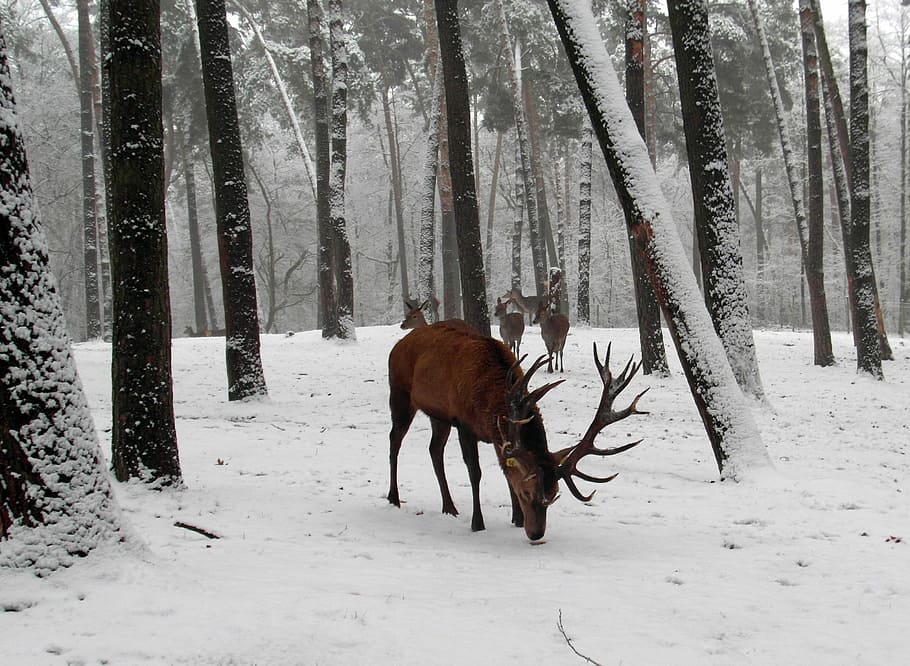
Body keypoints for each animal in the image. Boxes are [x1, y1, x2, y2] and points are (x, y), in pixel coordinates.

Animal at [387, 321, 647, 541]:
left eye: (554, 495)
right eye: (526, 494)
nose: (536, 534)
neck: (487, 403)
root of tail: (399, 343)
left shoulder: (496, 436)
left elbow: (506, 471)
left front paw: (517, 519)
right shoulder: (463, 423)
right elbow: (475, 472)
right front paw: (478, 523)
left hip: (437, 415)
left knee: (434, 450)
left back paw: (448, 506)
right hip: (400, 393)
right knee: (395, 440)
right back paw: (394, 497)